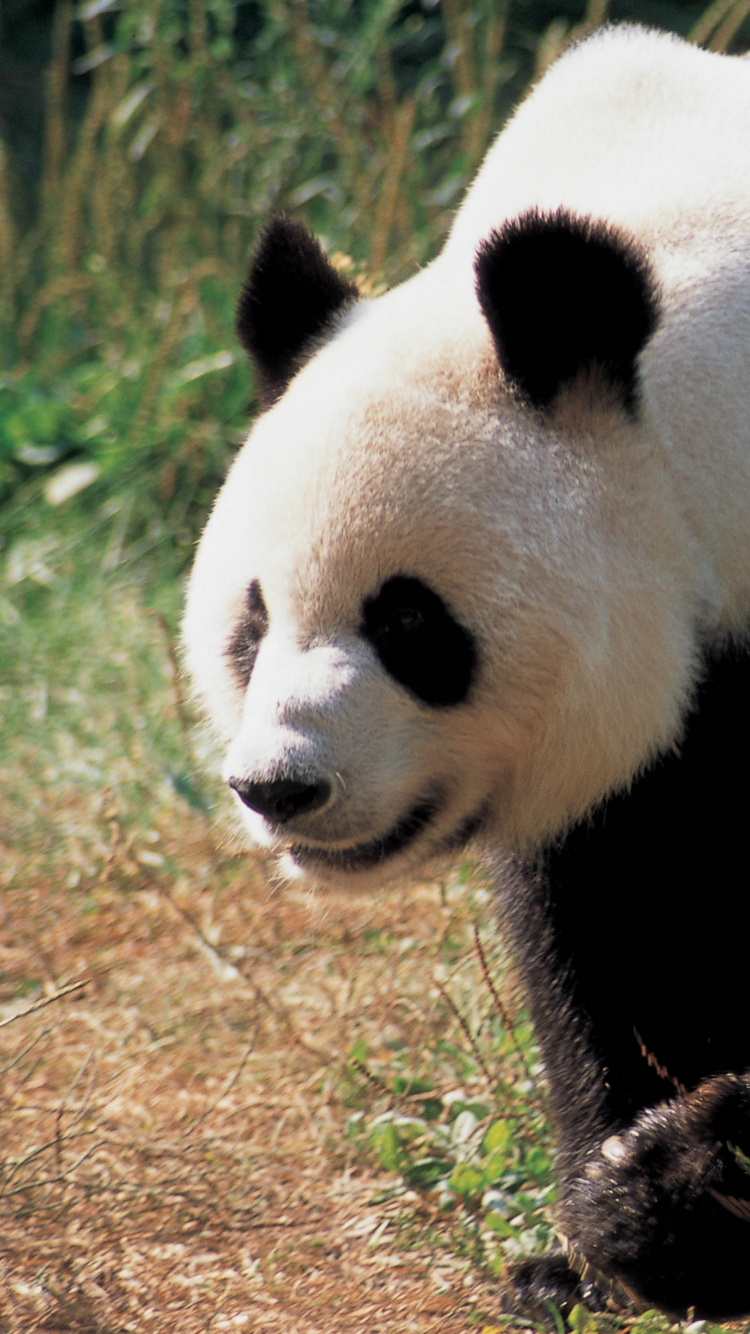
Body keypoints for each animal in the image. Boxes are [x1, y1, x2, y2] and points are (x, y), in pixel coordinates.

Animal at [182, 26, 750, 1317]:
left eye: (409, 619)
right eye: (253, 621)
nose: (281, 786)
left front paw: (685, 1187)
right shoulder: (631, 773)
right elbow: (603, 933)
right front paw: (605, 1235)